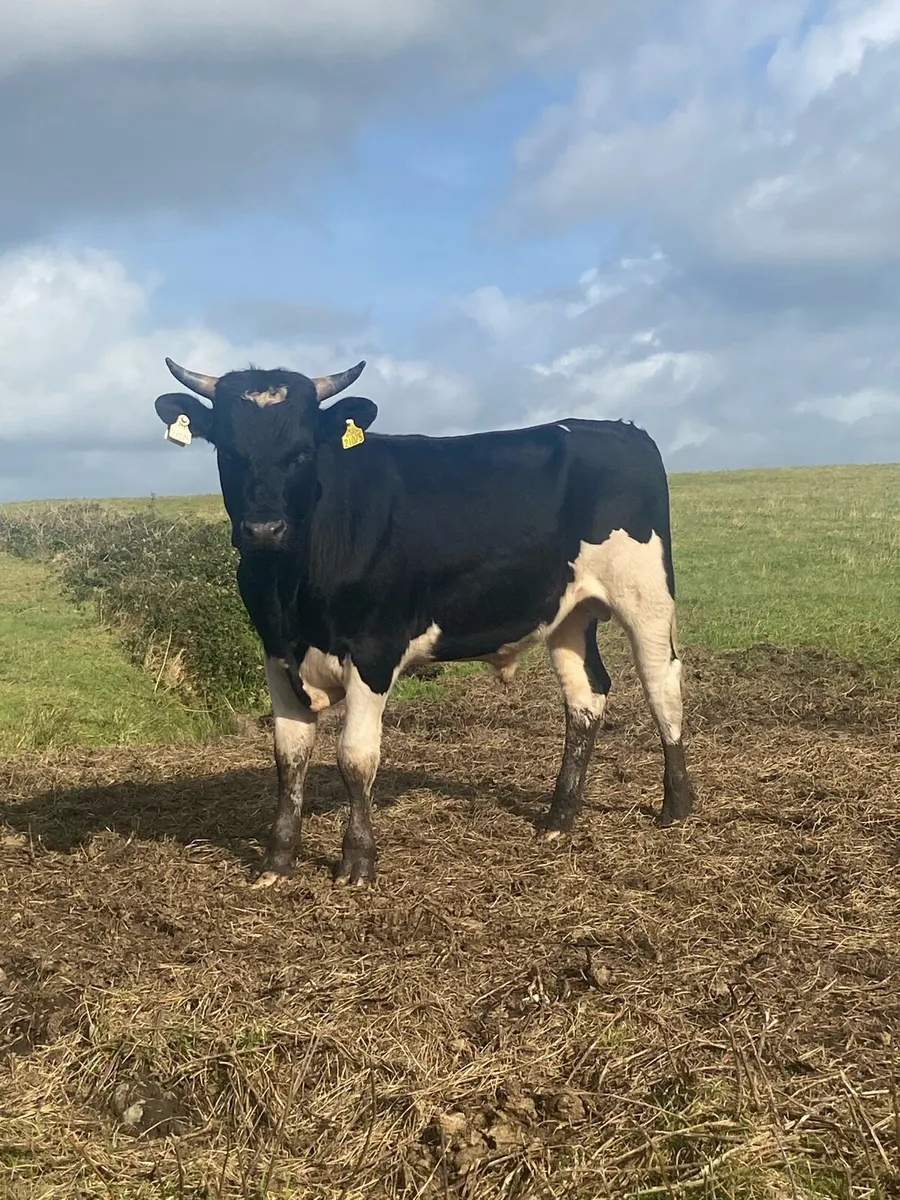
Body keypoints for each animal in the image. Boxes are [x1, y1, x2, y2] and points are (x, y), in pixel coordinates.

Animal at [154, 356, 696, 888]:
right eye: (229, 449)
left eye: (303, 451)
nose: (264, 529)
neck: (291, 589)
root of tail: (615, 428)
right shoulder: (275, 652)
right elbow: (289, 758)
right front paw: (277, 858)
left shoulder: (374, 651)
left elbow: (355, 758)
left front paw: (357, 860)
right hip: (568, 612)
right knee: (586, 696)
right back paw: (559, 818)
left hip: (646, 594)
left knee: (661, 683)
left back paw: (676, 805)